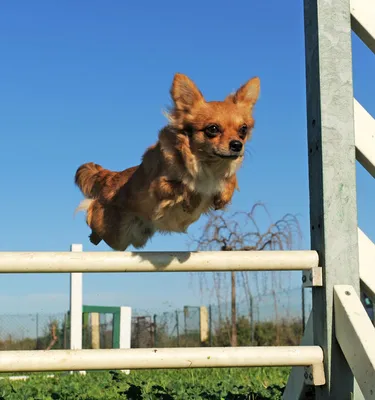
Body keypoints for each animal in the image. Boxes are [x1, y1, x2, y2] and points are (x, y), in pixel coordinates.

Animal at [74, 72, 260, 250]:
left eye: (243, 130)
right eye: (212, 129)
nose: (237, 145)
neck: (208, 166)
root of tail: (113, 177)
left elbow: (231, 180)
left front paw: (223, 196)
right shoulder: (157, 186)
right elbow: (182, 185)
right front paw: (193, 199)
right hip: (112, 230)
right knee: (92, 212)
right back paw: (92, 232)